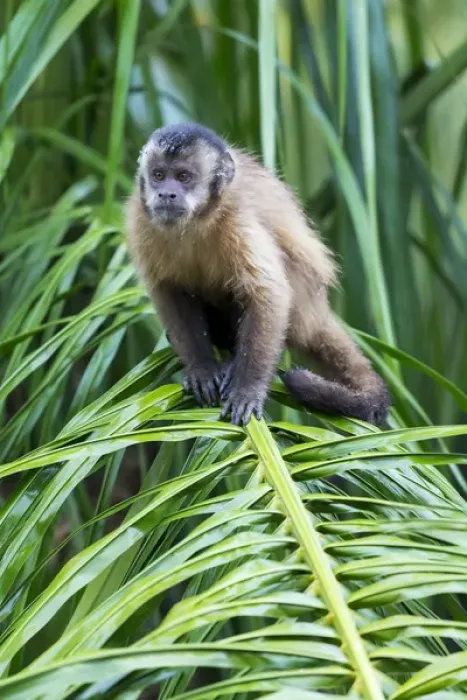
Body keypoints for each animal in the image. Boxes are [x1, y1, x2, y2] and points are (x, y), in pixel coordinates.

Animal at [125, 122, 390, 426]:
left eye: (183, 177)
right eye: (158, 175)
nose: (166, 194)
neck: (197, 221)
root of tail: (316, 311)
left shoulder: (238, 220)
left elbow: (268, 294)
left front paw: (248, 388)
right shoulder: (140, 220)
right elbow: (168, 289)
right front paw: (201, 368)